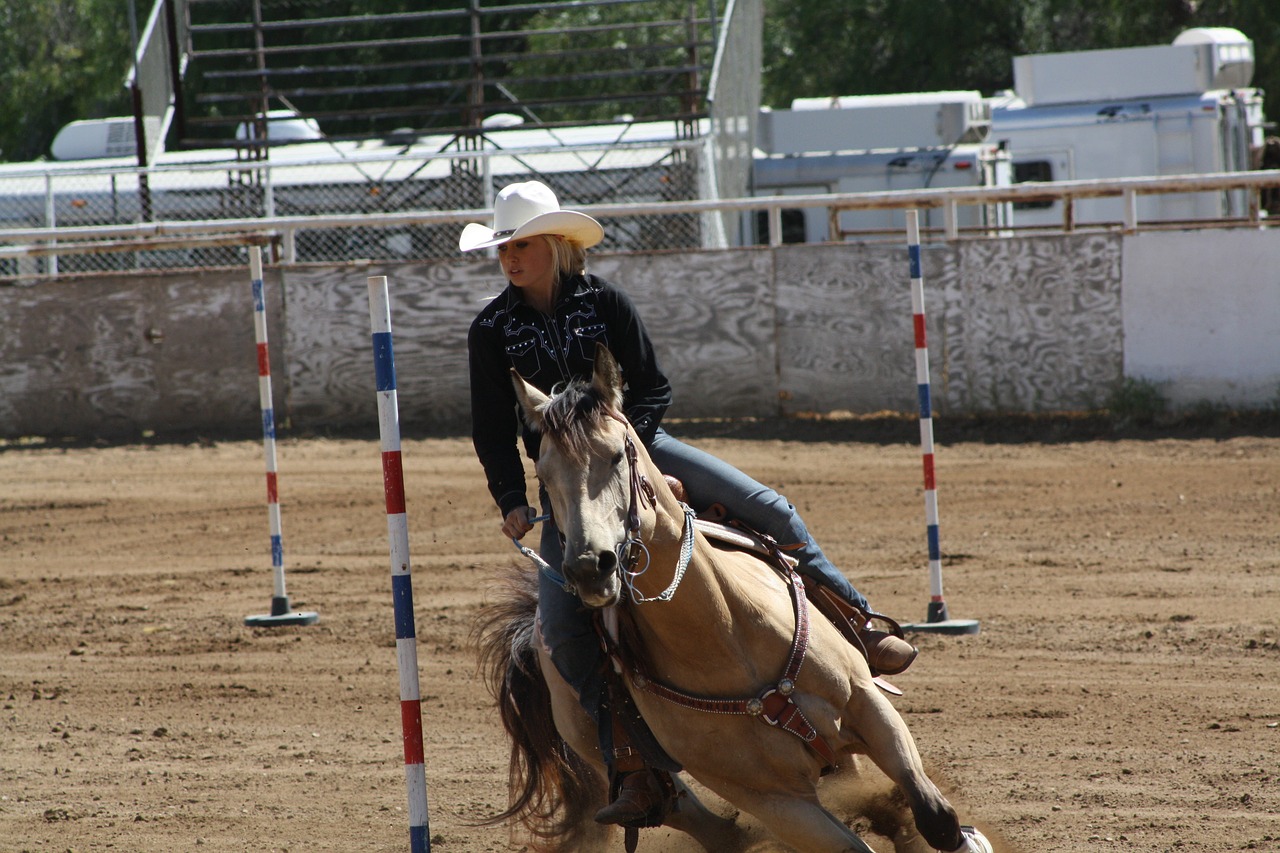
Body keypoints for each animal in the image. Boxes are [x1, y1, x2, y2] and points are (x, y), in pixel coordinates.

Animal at [476, 348, 993, 850]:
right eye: (543, 473)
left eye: (618, 456)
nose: (589, 567)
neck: (726, 637)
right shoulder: (774, 801)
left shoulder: (868, 705)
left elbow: (936, 817)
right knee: (708, 826)